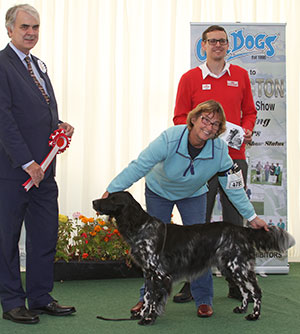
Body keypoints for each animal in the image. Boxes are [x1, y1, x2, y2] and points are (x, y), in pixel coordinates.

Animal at [93, 192, 296, 324]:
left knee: (256, 291)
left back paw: (254, 315)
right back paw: (241, 309)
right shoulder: (148, 273)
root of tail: (241, 229)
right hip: (230, 267)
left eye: (112, 198)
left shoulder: (159, 274)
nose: (94, 201)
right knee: (245, 291)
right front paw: (142, 314)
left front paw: (149, 318)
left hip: (239, 267)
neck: (142, 227)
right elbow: (148, 296)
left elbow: (155, 299)